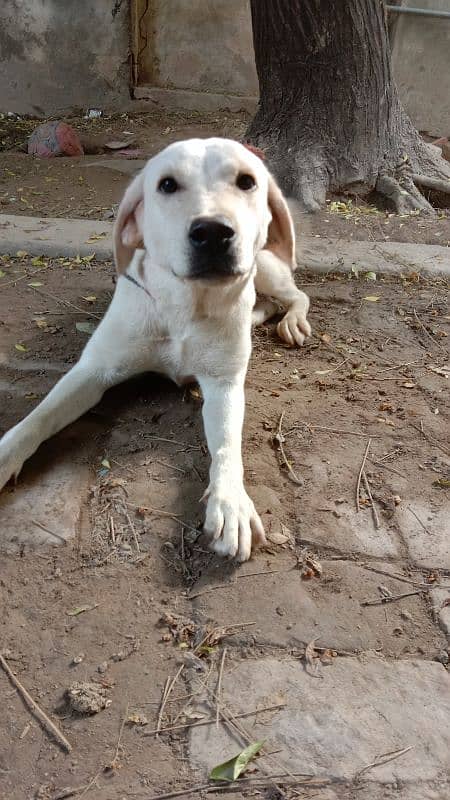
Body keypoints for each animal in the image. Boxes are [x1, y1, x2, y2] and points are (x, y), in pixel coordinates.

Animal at [0, 138, 310, 560]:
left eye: (247, 181)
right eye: (167, 184)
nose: (213, 232)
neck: (184, 303)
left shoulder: (224, 384)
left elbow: (227, 446)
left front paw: (230, 501)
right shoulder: (91, 372)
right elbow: (36, 419)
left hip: (263, 264)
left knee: (296, 295)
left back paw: (290, 319)